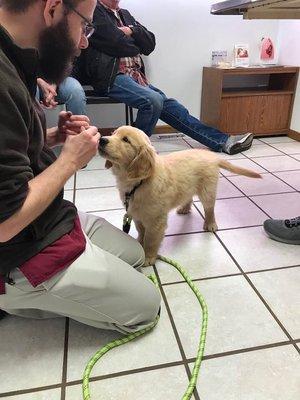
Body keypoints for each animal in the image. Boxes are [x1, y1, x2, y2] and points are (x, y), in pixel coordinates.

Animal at [99, 126, 262, 268]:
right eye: (113, 133)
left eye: (126, 140)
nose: (101, 139)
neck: (138, 183)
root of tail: (212, 156)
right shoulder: (136, 214)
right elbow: (141, 231)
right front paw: (139, 243)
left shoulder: (156, 221)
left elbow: (151, 239)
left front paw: (148, 256)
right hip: (188, 188)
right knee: (188, 197)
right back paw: (184, 208)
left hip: (207, 191)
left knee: (209, 209)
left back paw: (210, 224)